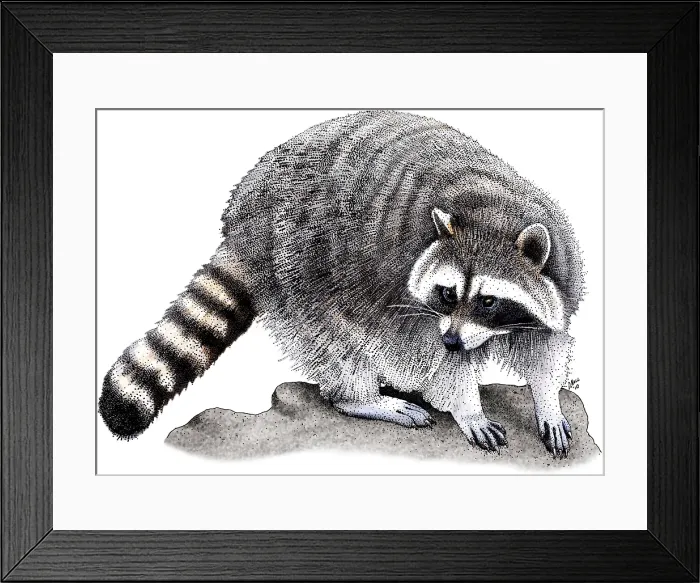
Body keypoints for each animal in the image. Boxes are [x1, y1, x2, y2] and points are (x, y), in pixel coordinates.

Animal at [99, 110, 584, 457]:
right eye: (448, 293)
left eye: (487, 300)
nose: (452, 340)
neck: (493, 213)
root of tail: (247, 214)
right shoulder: (412, 301)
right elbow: (437, 361)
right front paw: (468, 406)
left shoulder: (562, 271)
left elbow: (545, 345)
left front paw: (547, 401)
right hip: (299, 269)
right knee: (335, 345)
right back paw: (361, 397)